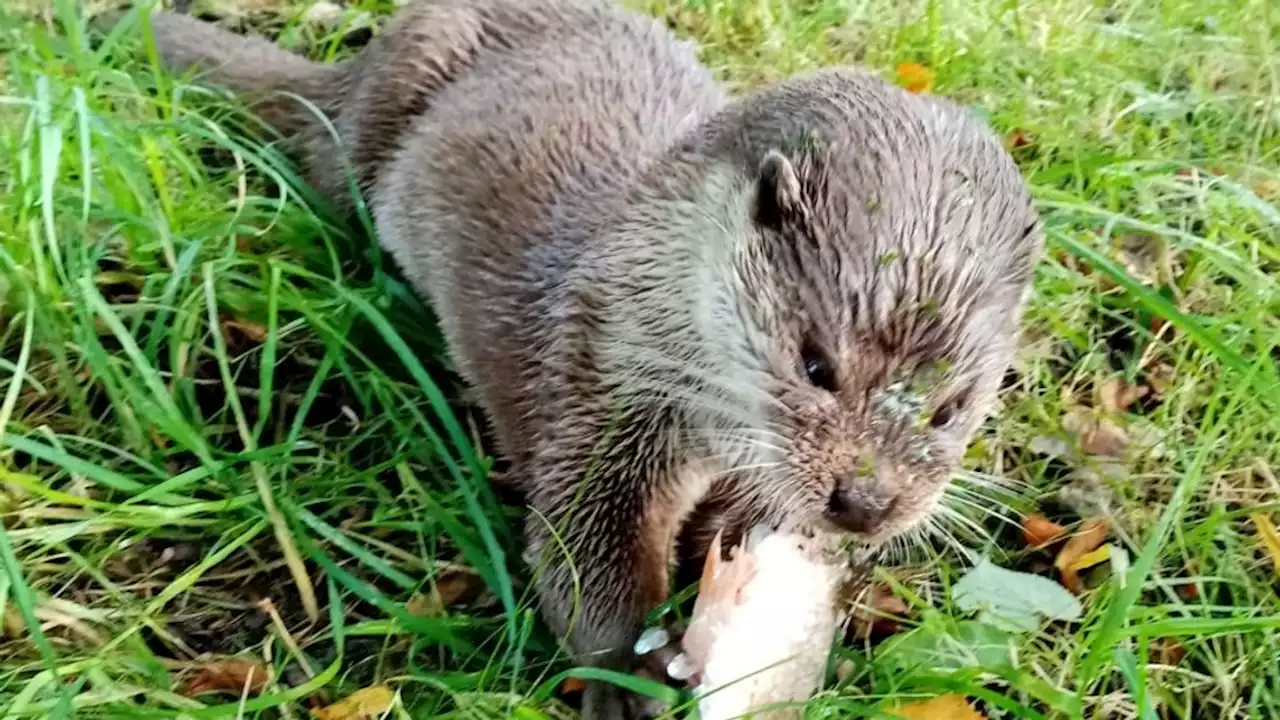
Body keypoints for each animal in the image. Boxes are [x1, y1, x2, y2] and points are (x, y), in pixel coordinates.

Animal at [112, 1, 1039, 712]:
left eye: (953, 406)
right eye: (817, 365)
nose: (864, 501)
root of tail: (357, 66)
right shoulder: (602, 388)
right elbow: (579, 546)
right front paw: (627, 671)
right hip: (372, 135)